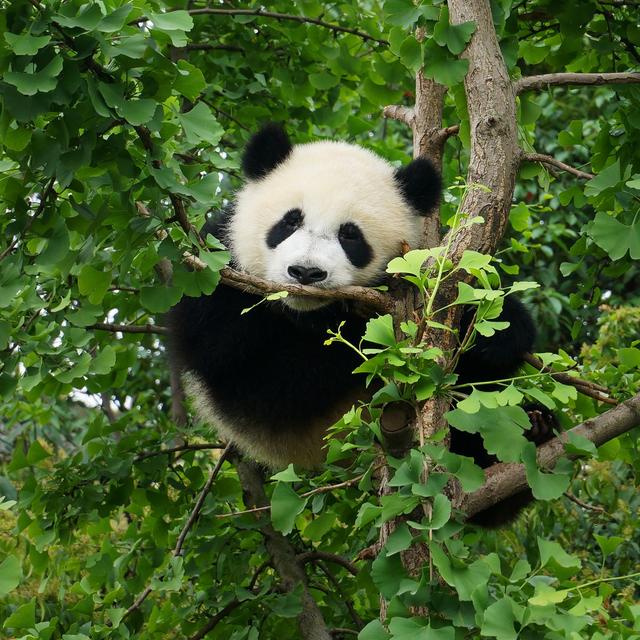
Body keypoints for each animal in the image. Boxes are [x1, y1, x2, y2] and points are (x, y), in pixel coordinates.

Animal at [169, 124, 555, 525]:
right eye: (291, 221)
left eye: (350, 235)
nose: (305, 272)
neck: (304, 312)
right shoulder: (215, 285)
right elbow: (270, 379)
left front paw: (494, 334)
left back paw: (534, 430)